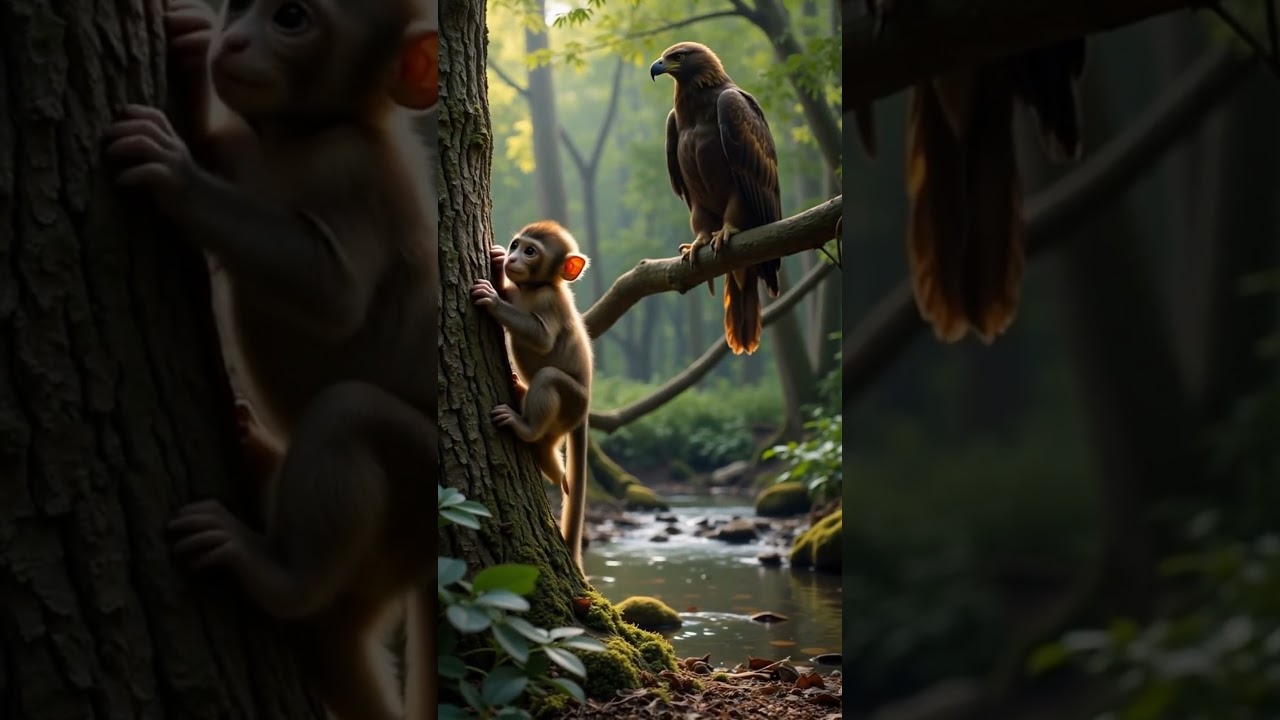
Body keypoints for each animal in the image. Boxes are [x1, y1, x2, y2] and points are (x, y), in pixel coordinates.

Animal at [102, 0, 440, 718]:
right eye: (241, 6)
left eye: (289, 18)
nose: (232, 41)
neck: (299, 135)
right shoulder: (244, 149)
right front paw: (188, 51)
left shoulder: (351, 171)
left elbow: (332, 293)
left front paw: (175, 174)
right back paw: (255, 453)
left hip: (420, 485)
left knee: (347, 413)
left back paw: (279, 575)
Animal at [470, 221, 593, 572]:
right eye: (515, 245)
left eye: (530, 251)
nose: (512, 259)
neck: (533, 289)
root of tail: (585, 411)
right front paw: (497, 265)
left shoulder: (551, 302)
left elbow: (541, 338)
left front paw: (492, 300)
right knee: (548, 450)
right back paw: (558, 472)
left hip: (571, 402)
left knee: (548, 379)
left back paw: (525, 428)